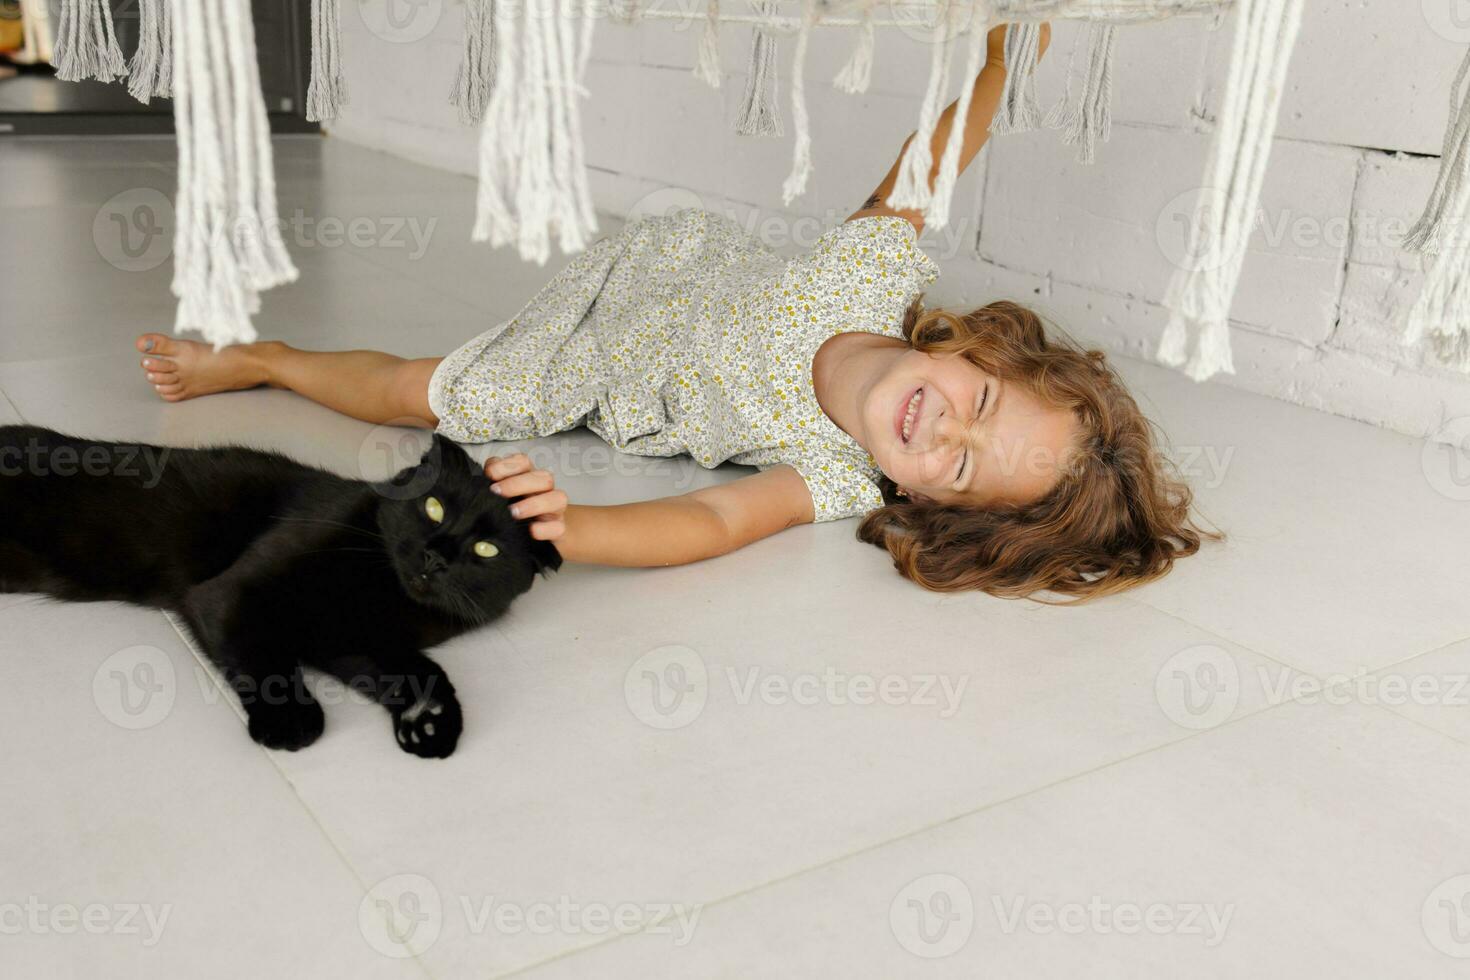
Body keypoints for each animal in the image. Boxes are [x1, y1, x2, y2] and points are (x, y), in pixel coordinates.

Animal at [0, 423, 561, 758]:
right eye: (434, 507)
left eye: (486, 550)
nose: (436, 556)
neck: (383, 589)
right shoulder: (234, 594)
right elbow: (266, 660)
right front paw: (292, 721)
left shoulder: (351, 641)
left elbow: (418, 670)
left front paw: (429, 721)